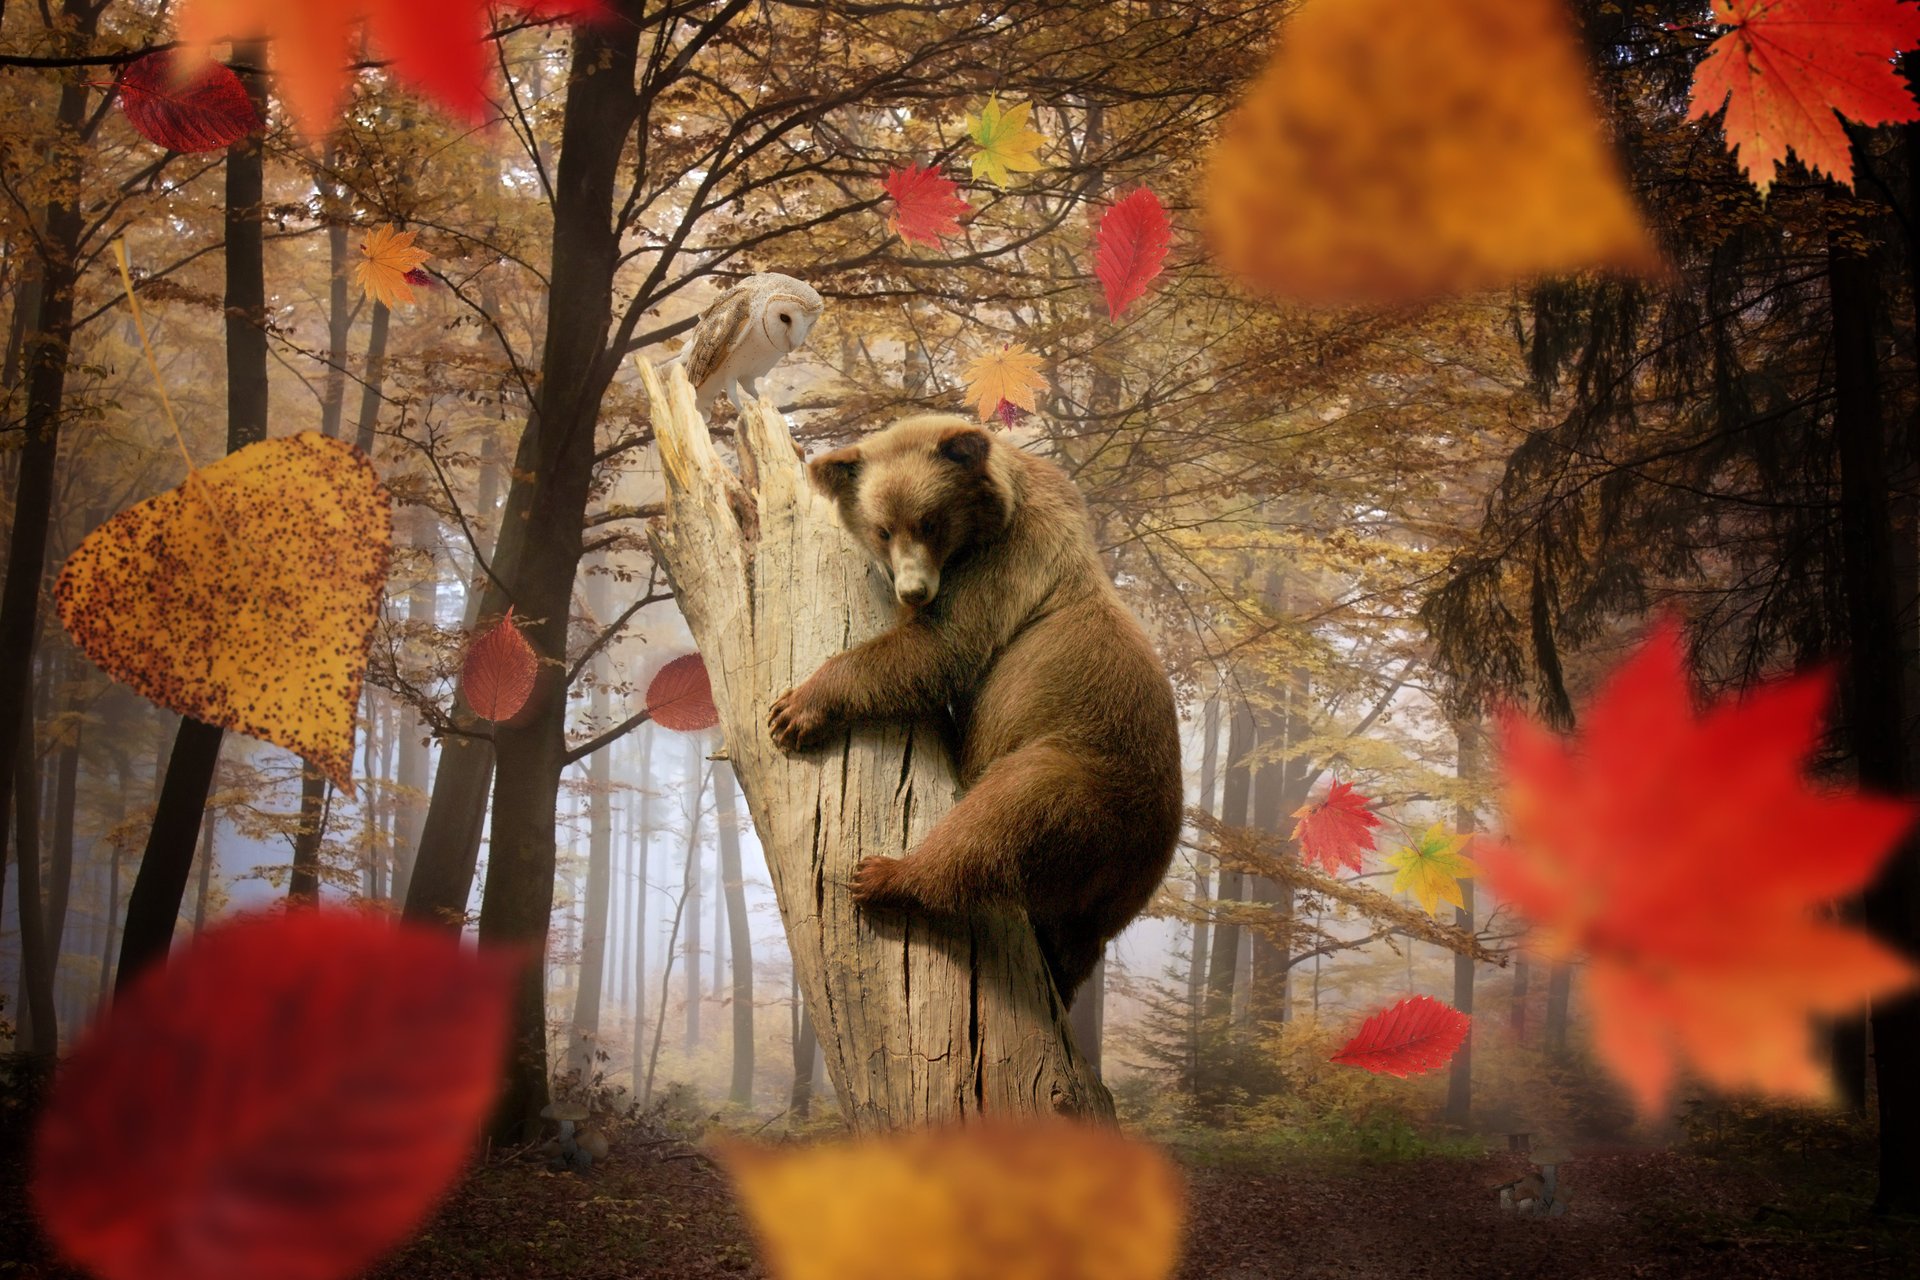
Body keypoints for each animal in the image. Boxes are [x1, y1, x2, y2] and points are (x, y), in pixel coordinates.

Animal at [766, 412, 1183, 1007]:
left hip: (1083, 777)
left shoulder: (1003, 568)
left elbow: (935, 649)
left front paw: (795, 709)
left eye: (930, 522)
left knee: (1000, 821)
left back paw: (884, 875)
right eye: (883, 529)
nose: (913, 591)